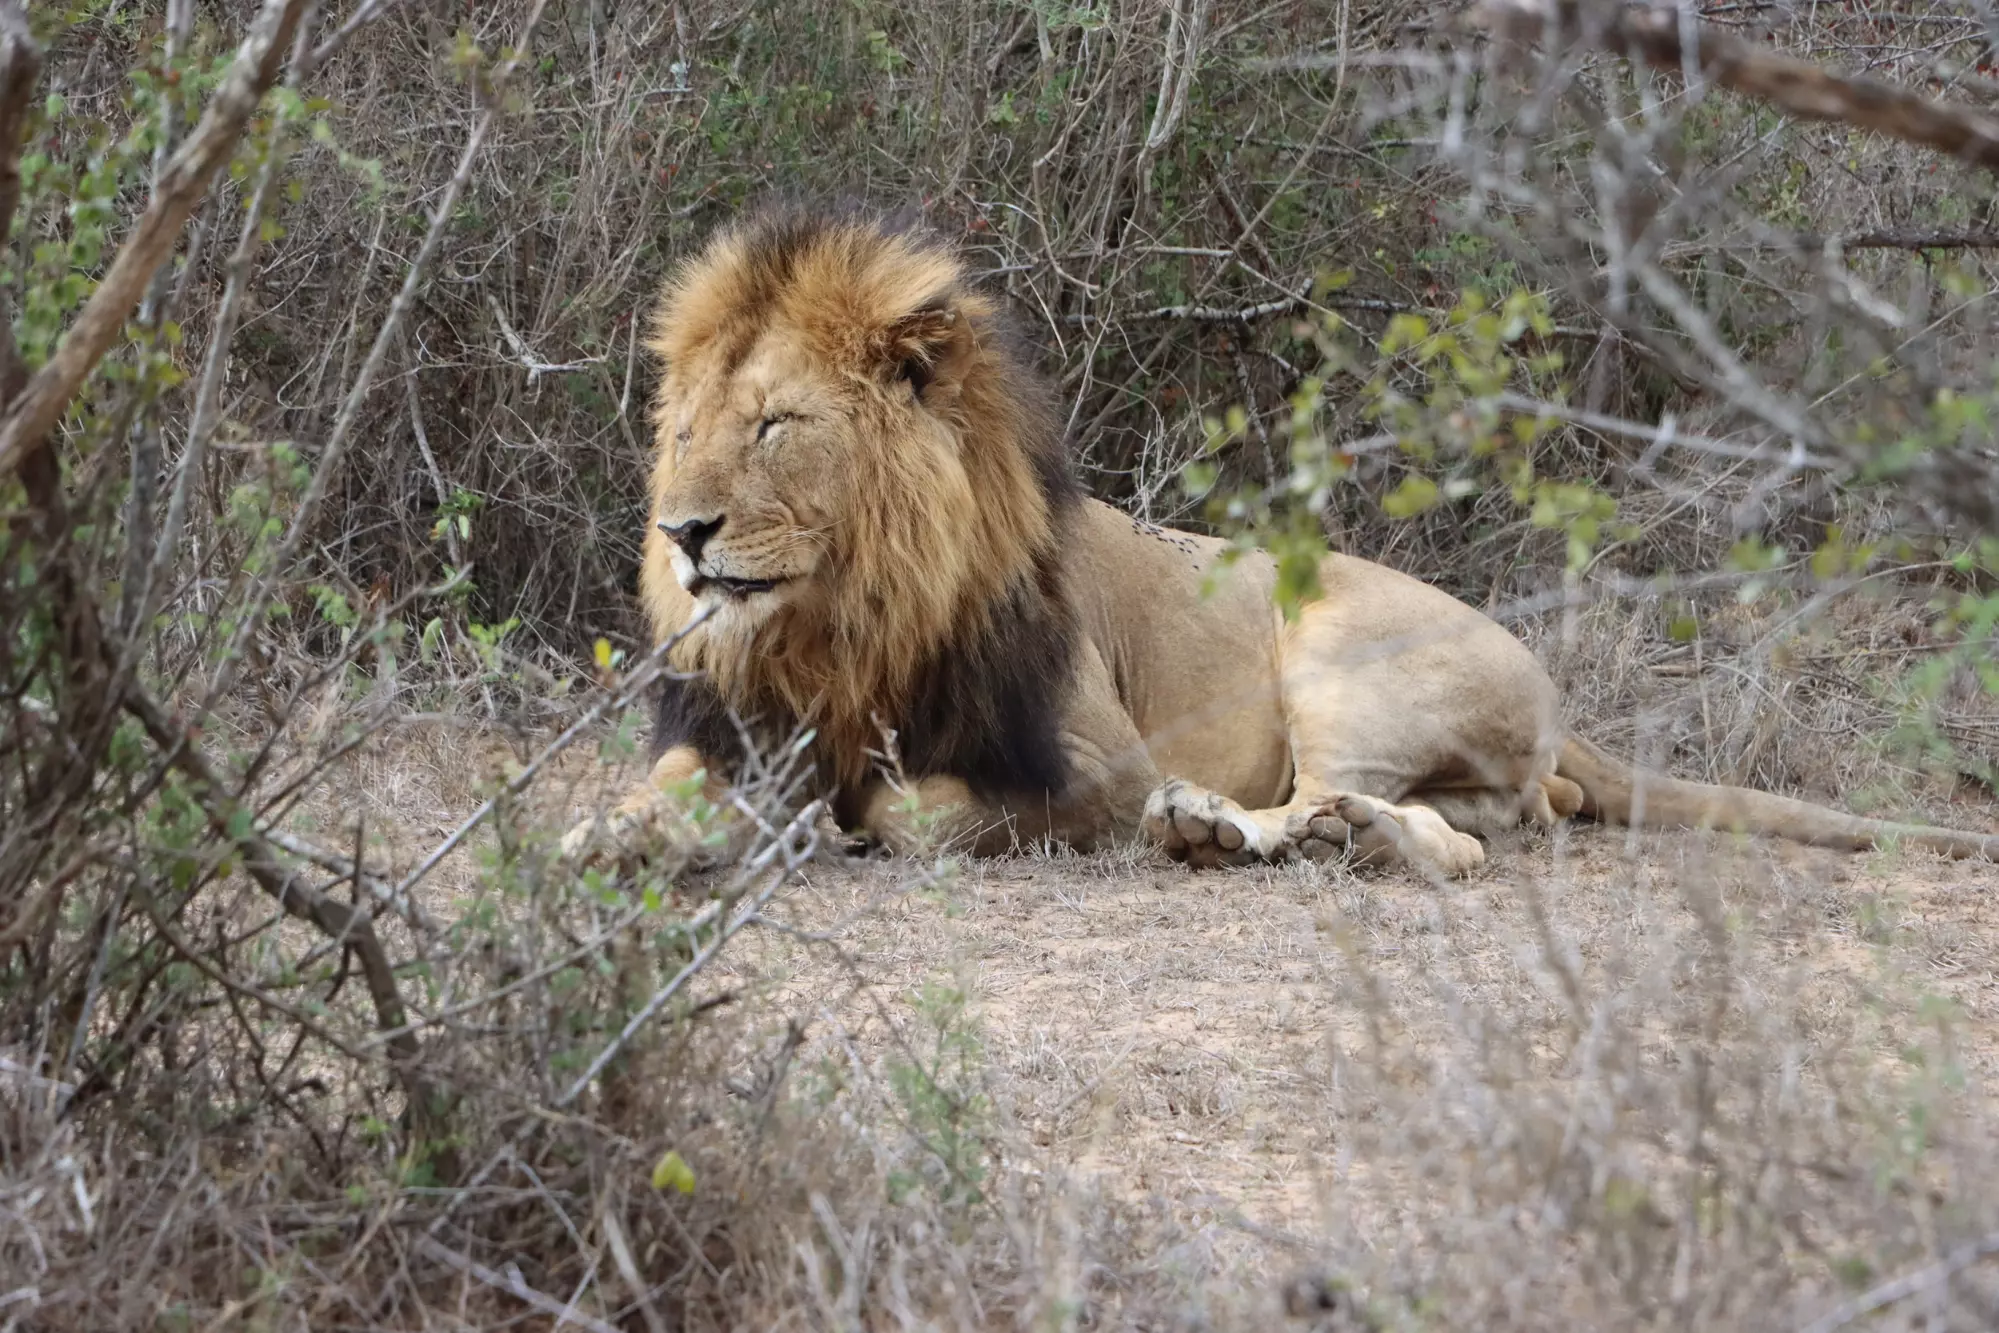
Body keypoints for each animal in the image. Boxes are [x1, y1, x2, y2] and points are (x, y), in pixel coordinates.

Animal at [561, 207, 1999, 875]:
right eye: (685, 426)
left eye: (776, 426)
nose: (679, 532)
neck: (841, 621)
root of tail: (1549, 685)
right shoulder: (730, 724)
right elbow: (661, 792)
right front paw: (615, 837)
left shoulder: (1096, 768)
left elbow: (918, 815)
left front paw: (830, 826)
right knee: (1473, 822)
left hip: (1338, 656)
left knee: (1390, 822)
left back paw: (1240, 832)